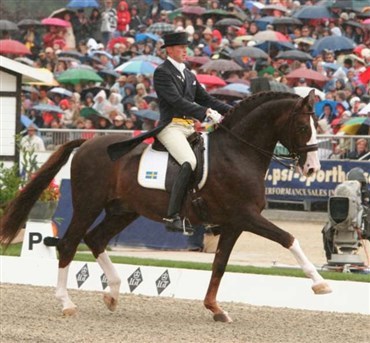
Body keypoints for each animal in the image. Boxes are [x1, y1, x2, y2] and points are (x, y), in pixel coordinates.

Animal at [1, 91, 330, 322]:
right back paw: (67, 303)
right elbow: (289, 238)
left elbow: (219, 264)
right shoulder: (246, 216)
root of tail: (86, 143)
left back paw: (113, 292)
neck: (238, 153)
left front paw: (215, 309)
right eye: (303, 127)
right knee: (69, 243)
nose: (313, 168)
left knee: (95, 239)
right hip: (88, 204)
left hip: (124, 210)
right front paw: (321, 284)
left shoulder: (234, 223)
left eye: (317, 126)